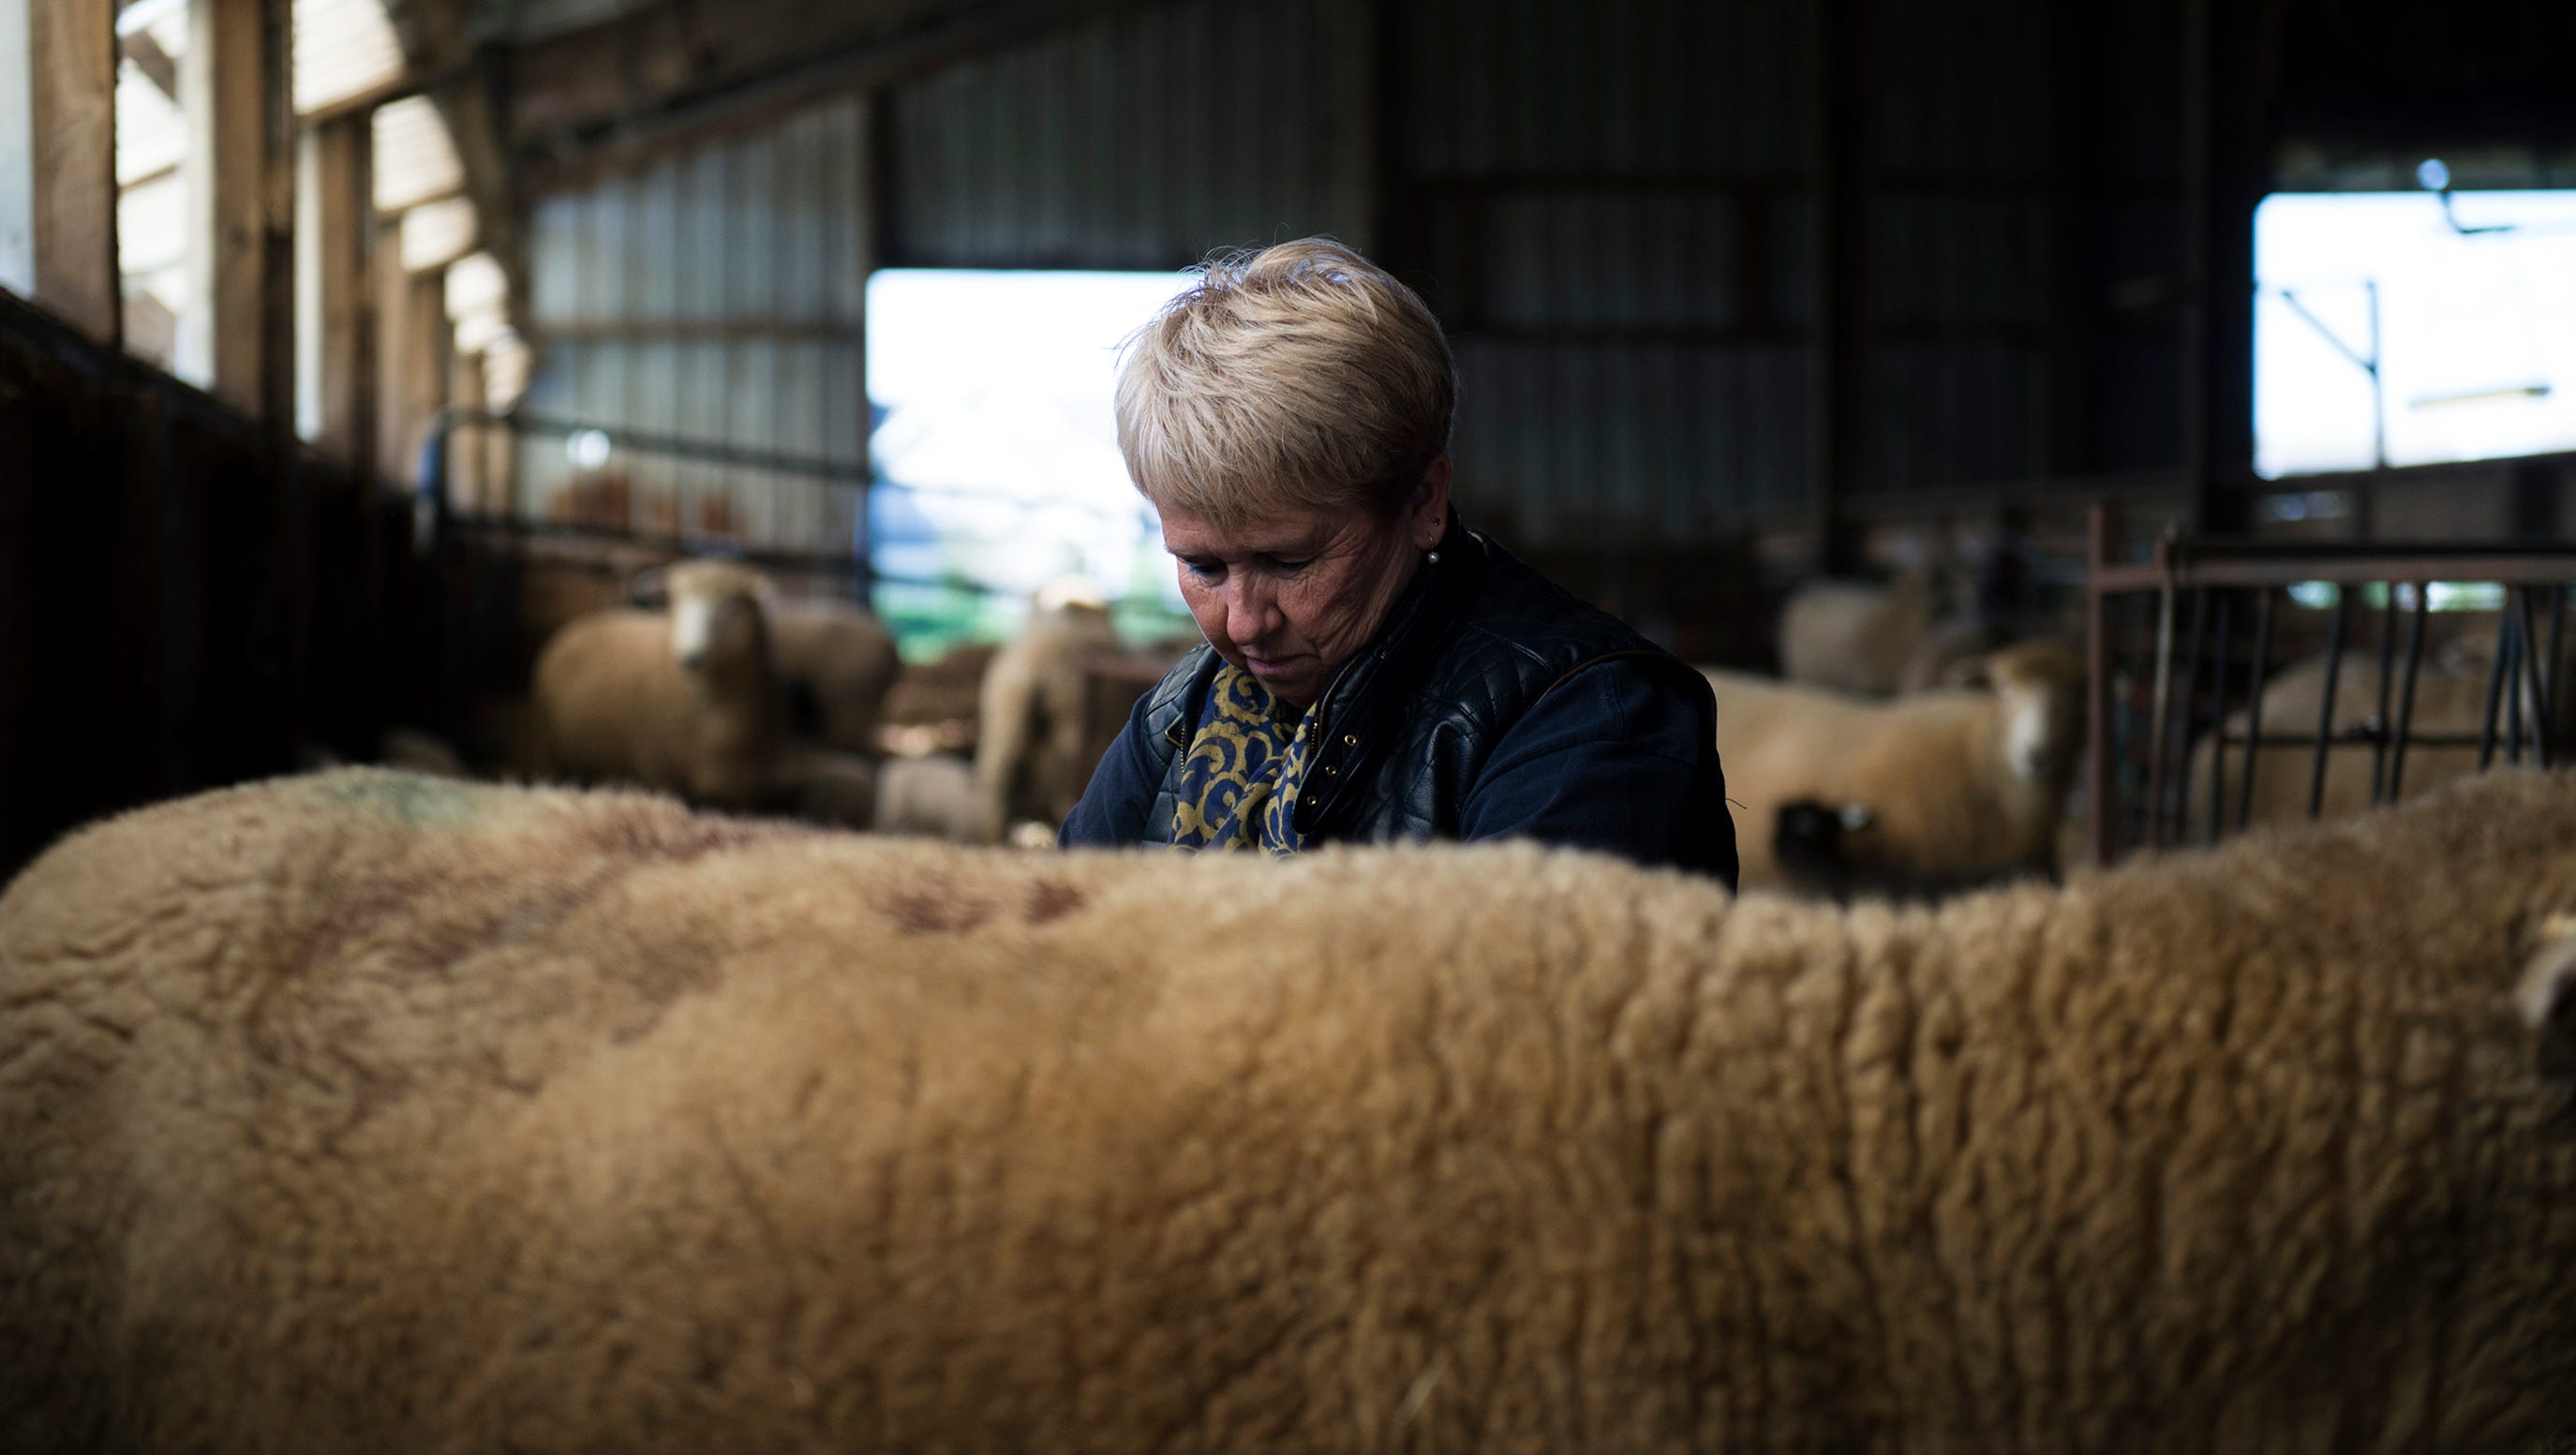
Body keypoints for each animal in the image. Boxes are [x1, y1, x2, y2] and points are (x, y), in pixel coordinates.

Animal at [530, 558, 781, 811]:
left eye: (734, 605)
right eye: (674, 601)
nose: (691, 656)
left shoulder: (746, 790)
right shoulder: (658, 768)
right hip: (552, 745)